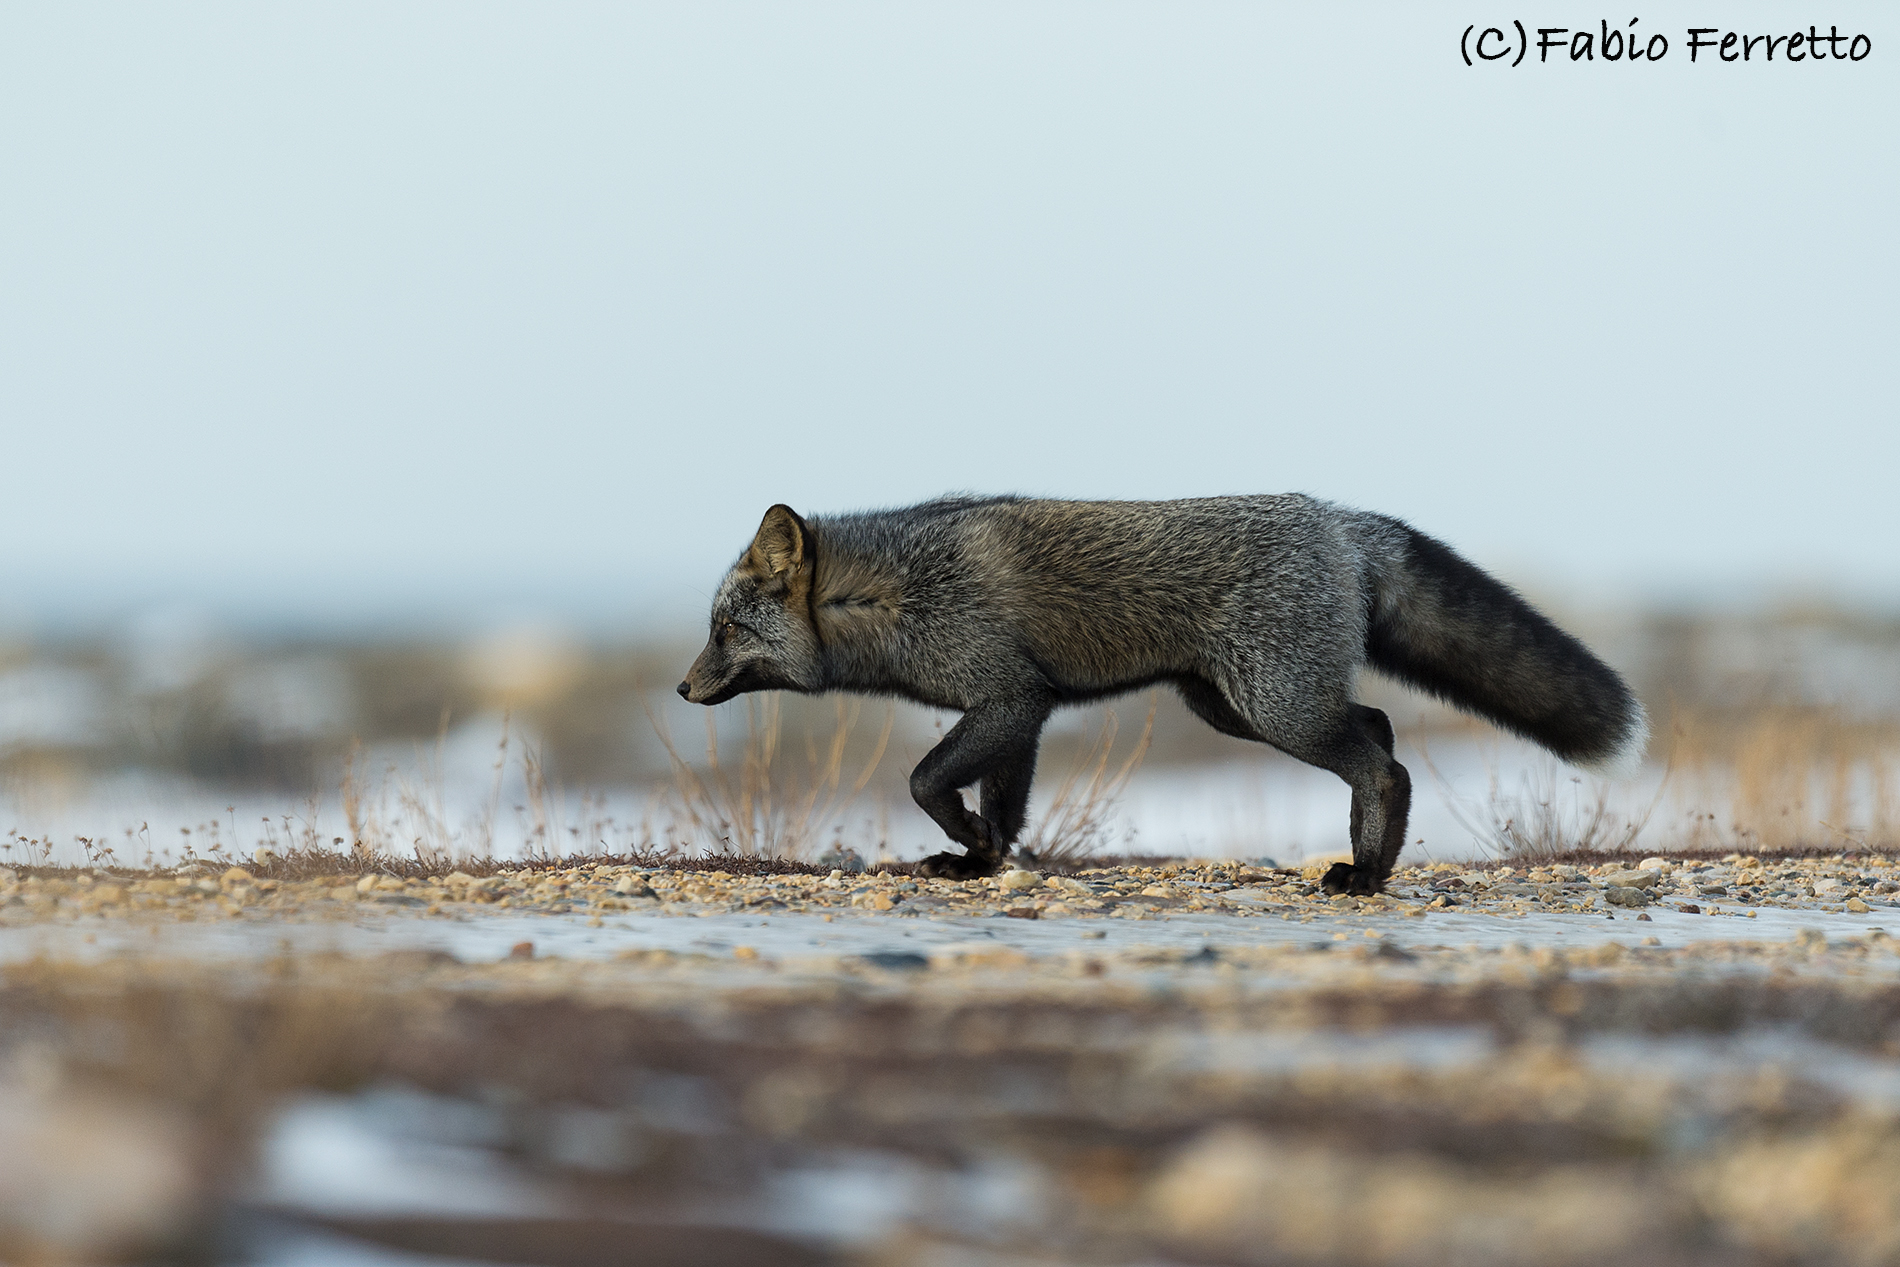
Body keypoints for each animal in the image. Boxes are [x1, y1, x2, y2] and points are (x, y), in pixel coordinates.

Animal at [678, 495, 1647, 893]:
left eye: (726, 630)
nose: (682, 687)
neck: (889, 596)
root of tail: (1338, 517)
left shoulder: (1004, 696)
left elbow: (925, 781)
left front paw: (971, 844)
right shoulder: (1025, 708)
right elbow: (1001, 802)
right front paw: (983, 859)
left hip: (1274, 706)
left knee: (1384, 766)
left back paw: (1367, 876)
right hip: (1238, 705)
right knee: (1378, 727)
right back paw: (1369, 859)